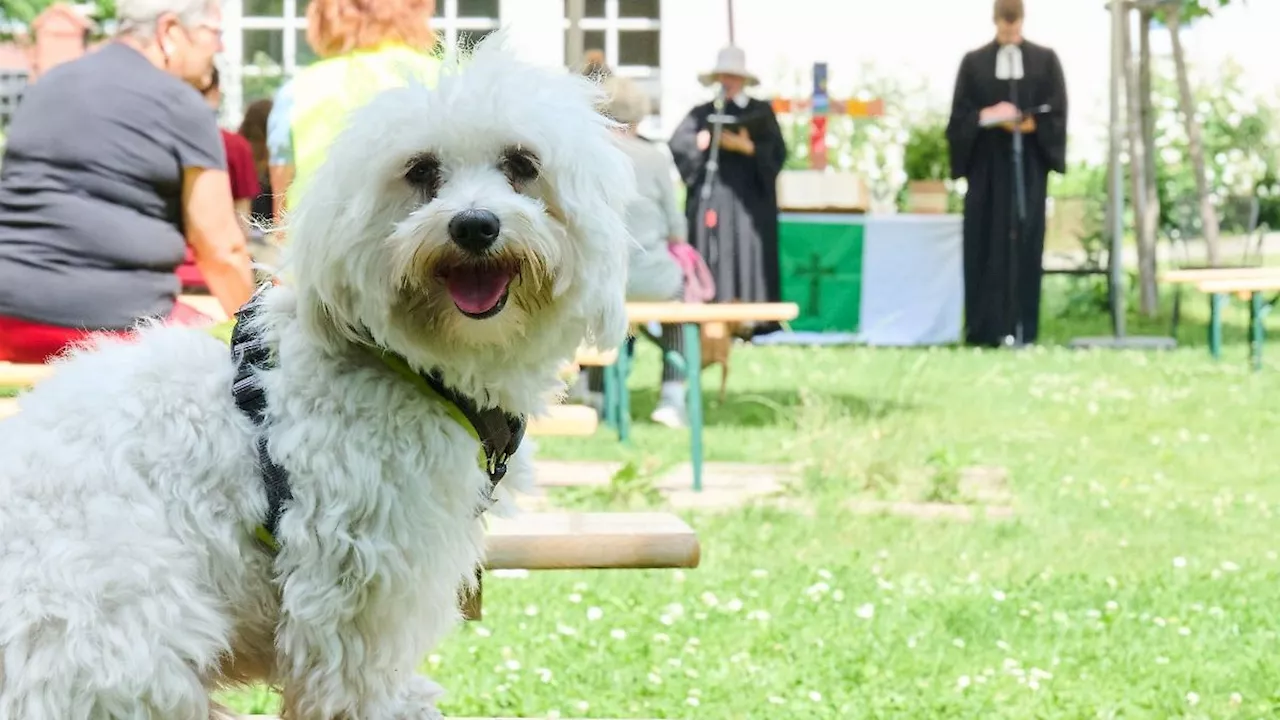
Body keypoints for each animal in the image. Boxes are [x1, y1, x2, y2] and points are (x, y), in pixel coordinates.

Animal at [0, 37, 634, 717]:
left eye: (522, 163)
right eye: (420, 171)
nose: (474, 225)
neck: (409, 363)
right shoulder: (358, 567)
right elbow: (356, 674)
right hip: (132, 629)